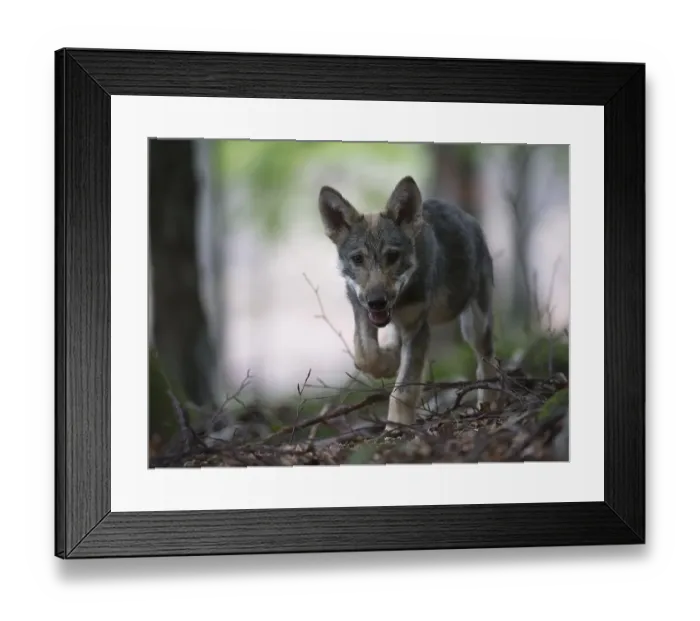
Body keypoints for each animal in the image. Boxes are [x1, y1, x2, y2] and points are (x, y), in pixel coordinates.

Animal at [318, 175, 500, 430]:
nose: (377, 302)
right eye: (358, 259)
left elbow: (403, 390)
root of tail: (469, 217)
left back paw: (488, 402)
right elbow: (366, 355)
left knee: (488, 360)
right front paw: (387, 364)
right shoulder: (362, 313)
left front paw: (396, 428)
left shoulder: (417, 328)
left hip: (474, 325)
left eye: (392, 256)